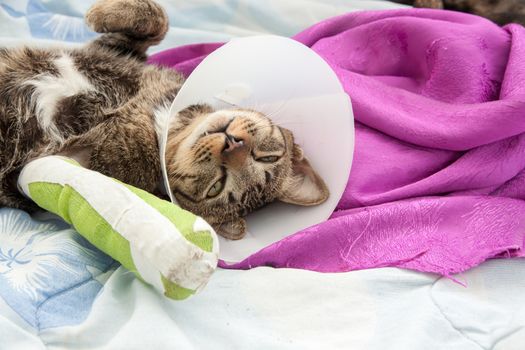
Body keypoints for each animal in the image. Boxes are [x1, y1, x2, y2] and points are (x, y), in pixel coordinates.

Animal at [0, 0, 328, 239]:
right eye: (267, 156)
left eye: (216, 188)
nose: (235, 145)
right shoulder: (116, 52)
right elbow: (158, 19)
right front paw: (100, 13)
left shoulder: (54, 164)